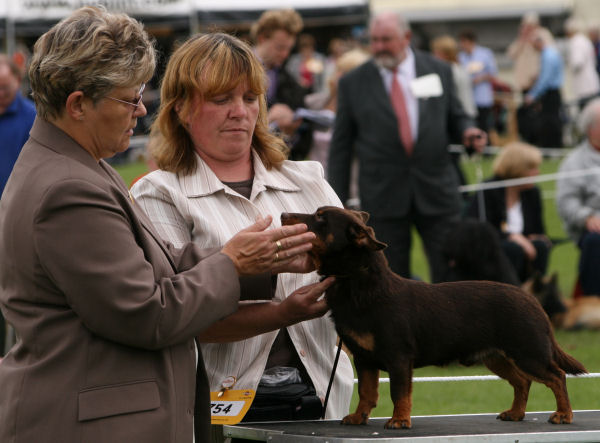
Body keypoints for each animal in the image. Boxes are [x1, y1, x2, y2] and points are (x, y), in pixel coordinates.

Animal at [282, 207, 592, 430]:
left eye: (320, 218)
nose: (284, 216)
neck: (359, 283)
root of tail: (533, 301)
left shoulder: (398, 358)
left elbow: (399, 393)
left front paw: (400, 420)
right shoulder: (365, 359)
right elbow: (368, 393)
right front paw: (359, 417)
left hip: (528, 352)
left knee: (556, 376)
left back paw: (563, 414)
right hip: (497, 357)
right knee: (522, 382)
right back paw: (516, 413)